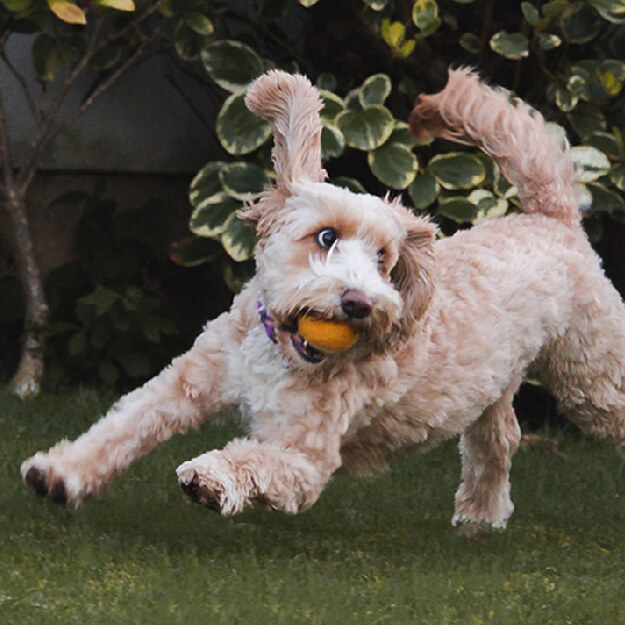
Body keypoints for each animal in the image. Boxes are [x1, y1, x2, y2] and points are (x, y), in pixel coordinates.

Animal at [22, 69, 624, 532]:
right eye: (326, 236)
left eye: (384, 257)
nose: (359, 303)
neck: (278, 352)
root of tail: (551, 218)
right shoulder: (188, 381)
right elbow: (124, 425)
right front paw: (59, 474)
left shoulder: (307, 455)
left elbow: (259, 460)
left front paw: (212, 476)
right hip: (493, 383)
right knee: (499, 438)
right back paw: (481, 516)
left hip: (592, 376)